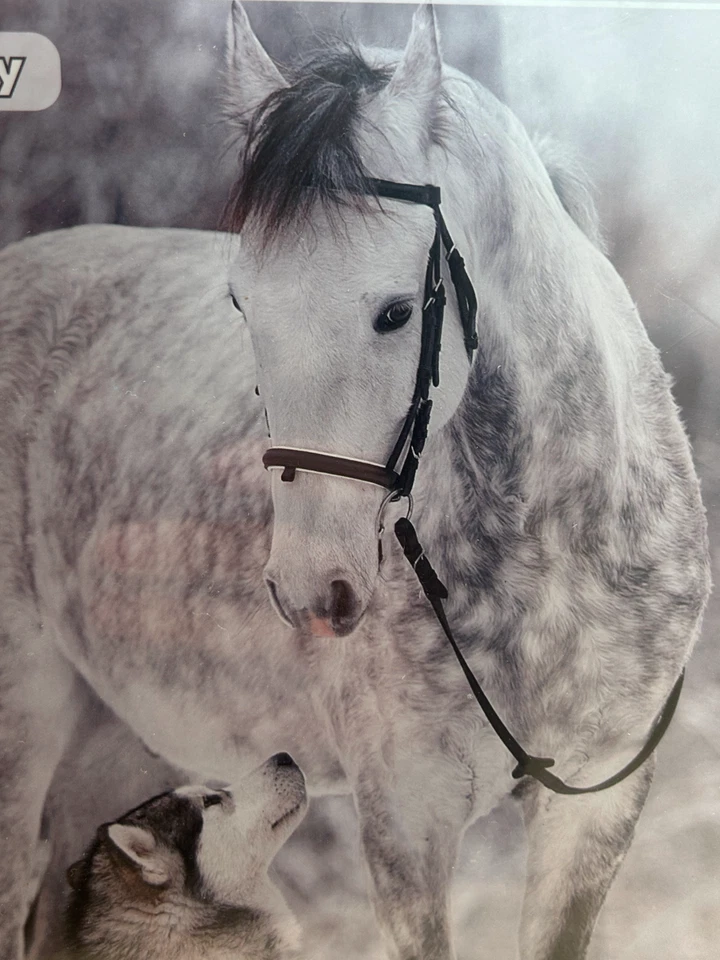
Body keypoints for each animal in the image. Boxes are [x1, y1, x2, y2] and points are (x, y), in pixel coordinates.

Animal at [0, 4, 710, 959]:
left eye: (397, 312)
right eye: (242, 302)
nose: (311, 590)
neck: (556, 553)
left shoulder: (597, 804)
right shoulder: (408, 817)